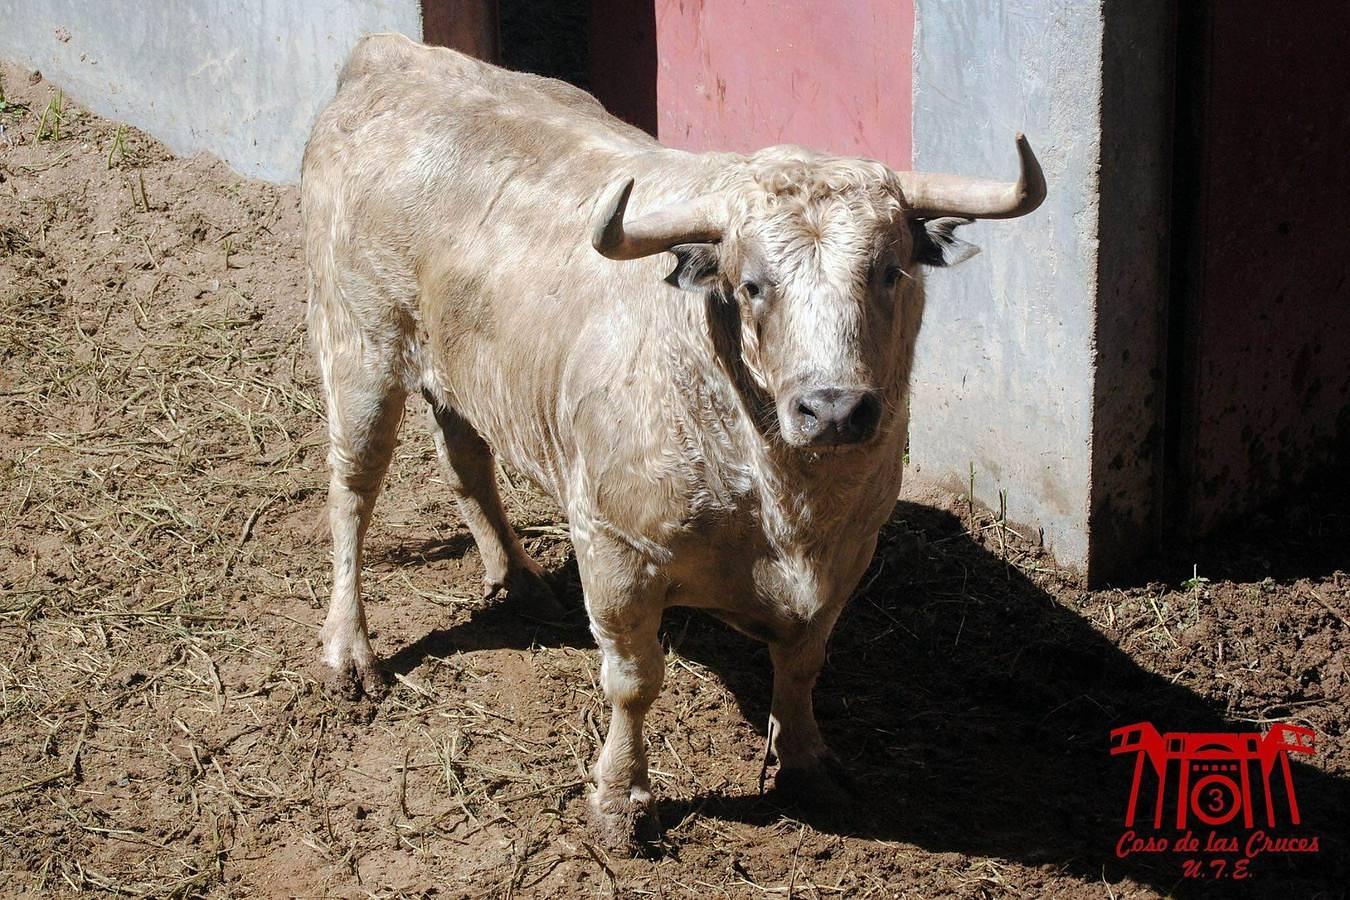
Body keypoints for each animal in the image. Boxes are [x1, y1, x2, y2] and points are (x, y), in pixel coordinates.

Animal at [303, 35, 1042, 847]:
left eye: (889, 271)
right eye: (752, 285)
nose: (834, 409)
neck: (788, 501)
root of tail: (393, 57)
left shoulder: (852, 551)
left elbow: (806, 661)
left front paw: (808, 761)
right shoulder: (616, 548)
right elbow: (634, 680)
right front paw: (620, 799)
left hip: (462, 371)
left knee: (465, 459)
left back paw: (518, 580)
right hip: (358, 347)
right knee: (352, 492)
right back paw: (349, 652)